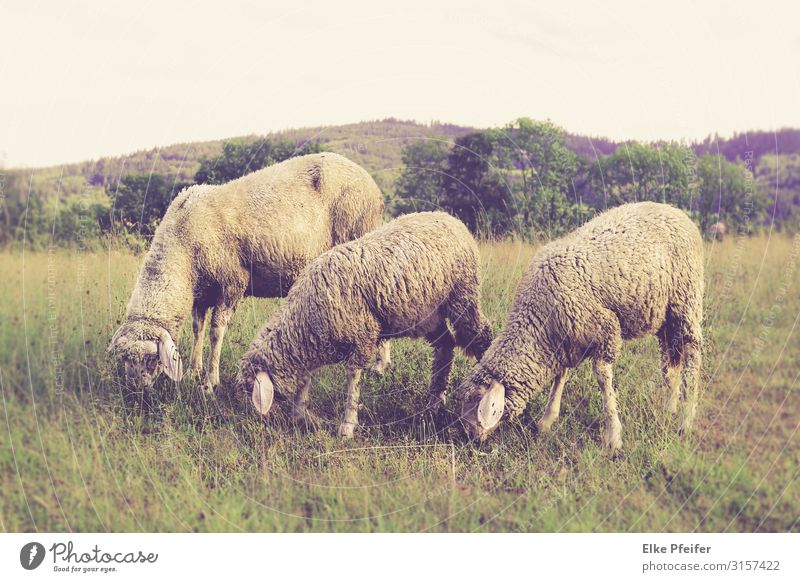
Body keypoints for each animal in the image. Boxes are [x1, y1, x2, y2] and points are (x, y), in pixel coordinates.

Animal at [111, 153, 386, 394]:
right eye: (124, 359)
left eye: (151, 359)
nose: (135, 391)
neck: (182, 246)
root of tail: (371, 182)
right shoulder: (201, 291)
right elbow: (198, 328)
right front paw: (193, 372)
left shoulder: (232, 282)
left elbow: (215, 331)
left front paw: (210, 382)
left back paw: (380, 366)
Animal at [239, 210, 494, 438]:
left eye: (251, 388)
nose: (260, 421)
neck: (304, 319)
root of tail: (449, 217)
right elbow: (305, 380)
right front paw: (300, 415)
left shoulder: (362, 337)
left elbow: (352, 383)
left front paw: (347, 426)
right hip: (427, 315)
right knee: (445, 345)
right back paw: (434, 402)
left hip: (462, 296)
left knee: (481, 334)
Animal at [460, 203, 704, 454]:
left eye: (477, 408)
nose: (467, 437)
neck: (536, 319)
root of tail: (677, 212)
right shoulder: (566, 340)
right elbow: (560, 376)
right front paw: (547, 420)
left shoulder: (604, 328)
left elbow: (603, 380)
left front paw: (613, 436)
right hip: (664, 317)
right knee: (670, 361)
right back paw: (670, 406)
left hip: (686, 300)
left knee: (692, 354)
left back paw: (685, 419)